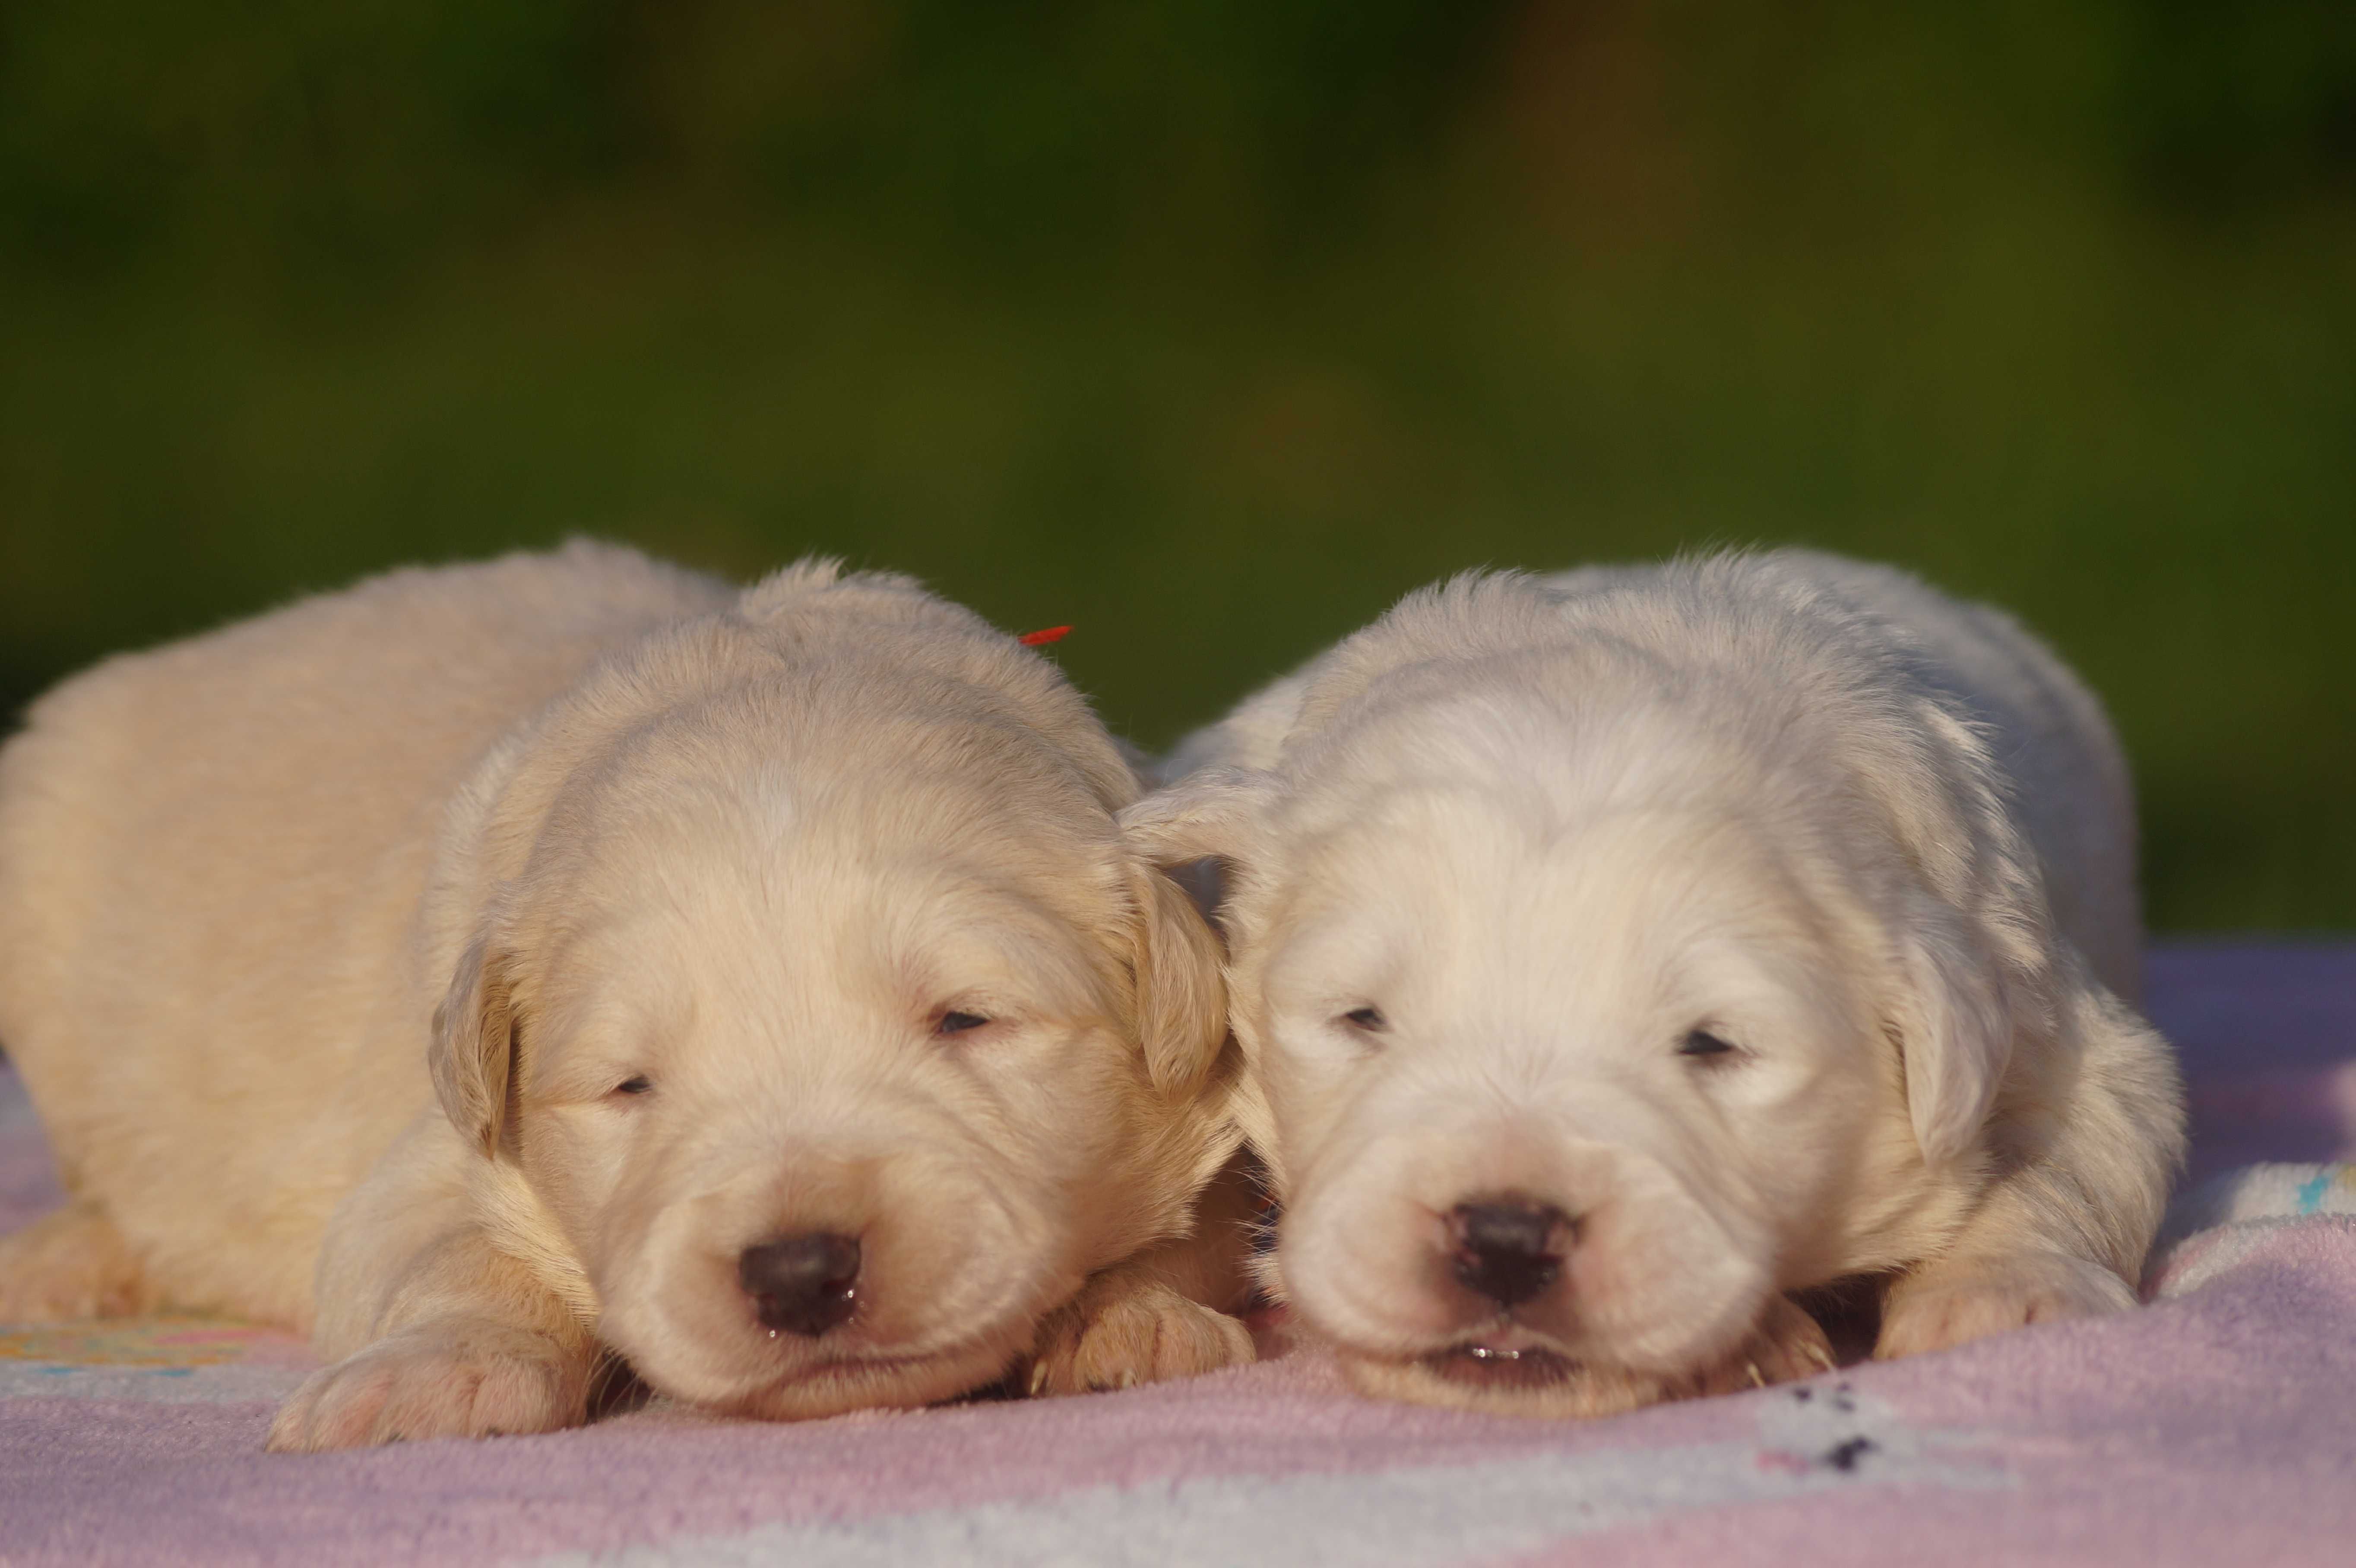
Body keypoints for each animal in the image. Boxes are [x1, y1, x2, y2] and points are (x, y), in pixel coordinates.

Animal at [0, 541, 1253, 1441]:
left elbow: (1196, 1227)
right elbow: (454, 1250)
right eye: (628, 1086)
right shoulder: (432, 1153)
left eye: (967, 1020)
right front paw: (429, 1380)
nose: (800, 1271)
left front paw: (1125, 1317)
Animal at [1130, 553, 2177, 1413]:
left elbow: (2076, 1152)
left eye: (1713, 1044)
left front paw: (2003, 1297)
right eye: (1361, 1019)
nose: (1505, 1237)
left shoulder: (2049, 1011)